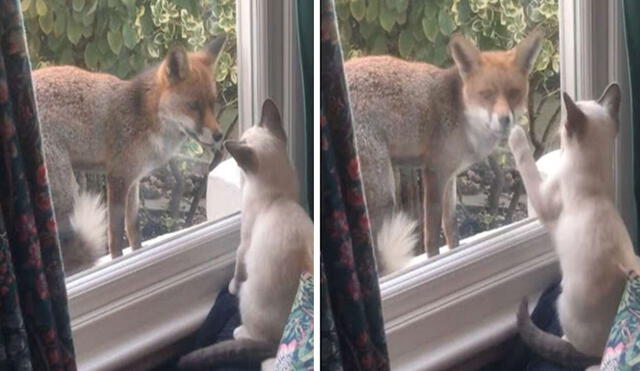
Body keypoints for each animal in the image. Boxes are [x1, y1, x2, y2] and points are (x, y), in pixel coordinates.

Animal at [34, 35, 228, 274]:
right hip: (66, 192)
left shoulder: (134, 180)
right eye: (193, 105)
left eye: (212, 103)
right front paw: (118, 262)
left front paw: (137, 255)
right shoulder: (117, 177)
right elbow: (116, 235)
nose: (219, 136)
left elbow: (133, 228)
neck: (146, 117)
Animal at [178, 99, 312, 371]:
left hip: (249, 295)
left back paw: (240, 332)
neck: (278, 197)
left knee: (255, 335)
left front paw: (231, 287)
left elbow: (237, 270)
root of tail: (287, 334)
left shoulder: (244, 245)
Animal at [348, 29, 544, 274]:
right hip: (383, 192)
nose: (504, 119)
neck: (464, 117)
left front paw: (454, 253)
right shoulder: (433, 172)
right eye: (486, 94)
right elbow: (432, 234)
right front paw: (434, 262)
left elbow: (450, 226)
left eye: (514, 93)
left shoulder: (450, 175)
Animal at [512, 83, 640, 370]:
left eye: (561, 129)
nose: (557, 141)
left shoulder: (543, 200)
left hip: (562, 302)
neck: (596, 186)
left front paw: (515, 132)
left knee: (575, 345)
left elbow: (528, 164)